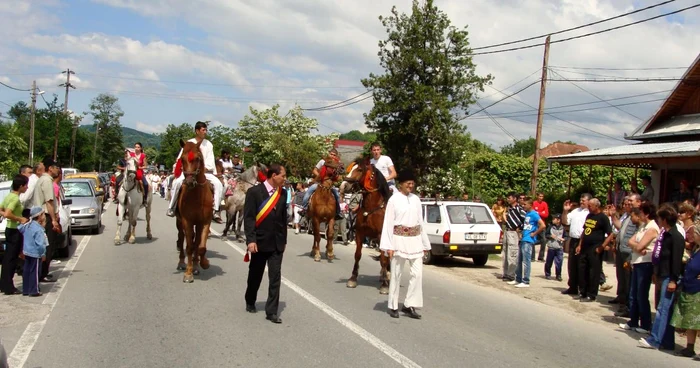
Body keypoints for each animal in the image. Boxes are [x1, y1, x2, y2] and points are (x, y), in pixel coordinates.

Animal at [175, 139, 213, 284]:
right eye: (182, 159)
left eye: (198, 158)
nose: (189, 181)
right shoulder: (187, 221)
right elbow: (190, 247)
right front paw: (188, 273)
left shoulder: (205, 221)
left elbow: (200, 246)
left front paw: (203, 264)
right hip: (179, 222)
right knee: (182, 238)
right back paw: (181, 263)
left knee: (196, 242)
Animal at [344, 158, 394, 294]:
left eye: (360, 170)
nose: (344, 185)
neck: (372, 208)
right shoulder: (360, 234)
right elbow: (357, 255)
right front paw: (353, 278)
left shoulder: (381, 237)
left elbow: (383, 259)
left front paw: (384, 285)